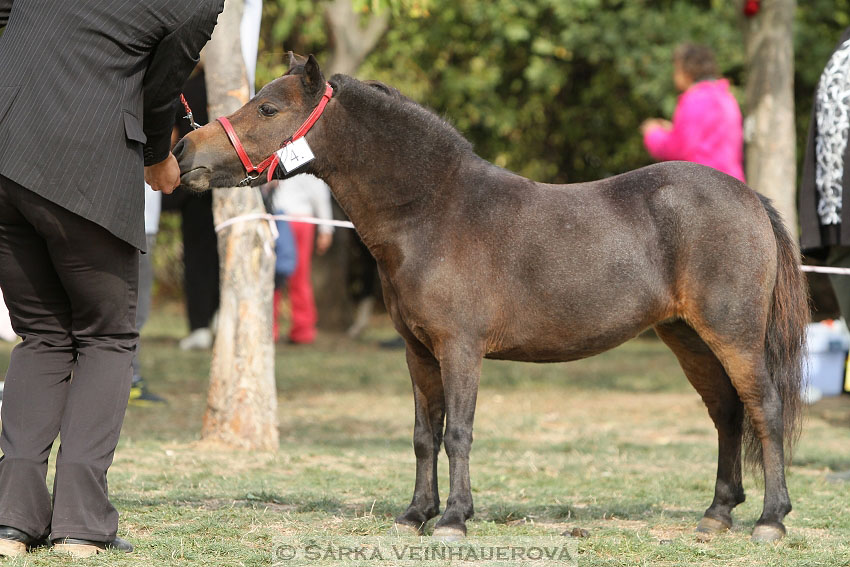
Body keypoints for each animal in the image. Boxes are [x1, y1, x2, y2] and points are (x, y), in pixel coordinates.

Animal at [176, 55, 804, 544]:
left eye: (267, 109)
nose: (184, 149)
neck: (433, 209)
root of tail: (749, 197)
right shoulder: (419, 352)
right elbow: (424, 435)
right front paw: (415, 514)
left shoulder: (460, 349)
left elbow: (459, 432)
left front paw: (454, 519)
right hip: (688, 336)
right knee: (726, 412)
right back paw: (718, 512)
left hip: (734, 335)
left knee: (764, 409)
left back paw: (771, 519)